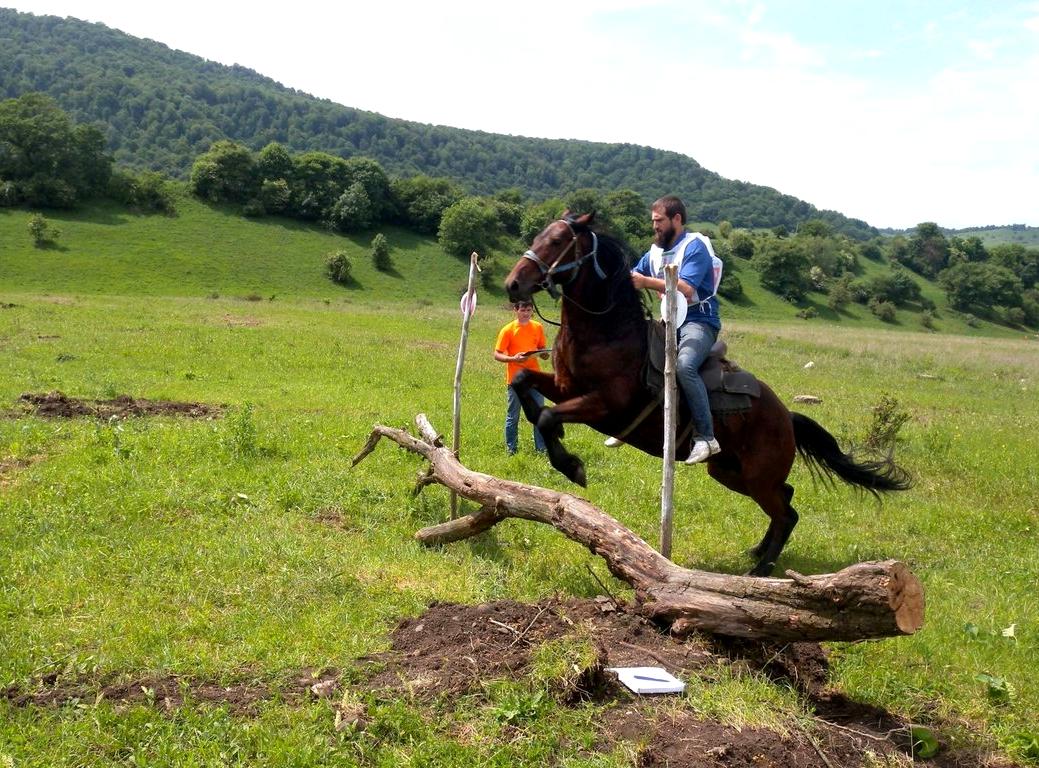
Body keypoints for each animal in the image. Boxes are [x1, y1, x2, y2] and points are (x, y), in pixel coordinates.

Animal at [502, 213, 910, 573]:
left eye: (557, 240)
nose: (513, 284)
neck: (606, 333)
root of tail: (786, 417)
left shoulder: (606, 406)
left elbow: (548, 415)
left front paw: (572, 466)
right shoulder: (565, 388)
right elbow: (523, 383)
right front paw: (558, 442)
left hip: (756, 478)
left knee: (787, 513)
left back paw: (761, 569)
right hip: (731, 472)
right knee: (788, 498)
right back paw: (758, 551)